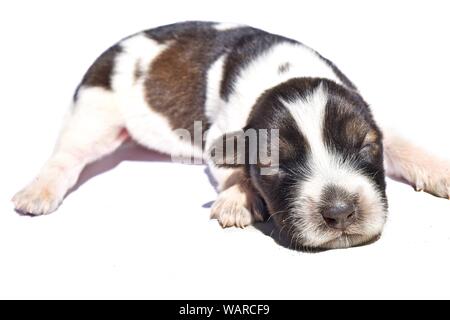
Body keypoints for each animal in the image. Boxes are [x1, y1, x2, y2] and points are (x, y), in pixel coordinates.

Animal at [11, 21, 450, 250]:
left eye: (365, 147)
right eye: (273, 164)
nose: (340, 213)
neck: (283, 74)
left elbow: (403, 142)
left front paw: (439, 169)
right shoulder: (218, 134)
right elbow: (232, 164)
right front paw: (239, 197)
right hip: (95, 114)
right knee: (66, 155)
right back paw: (38, 191)